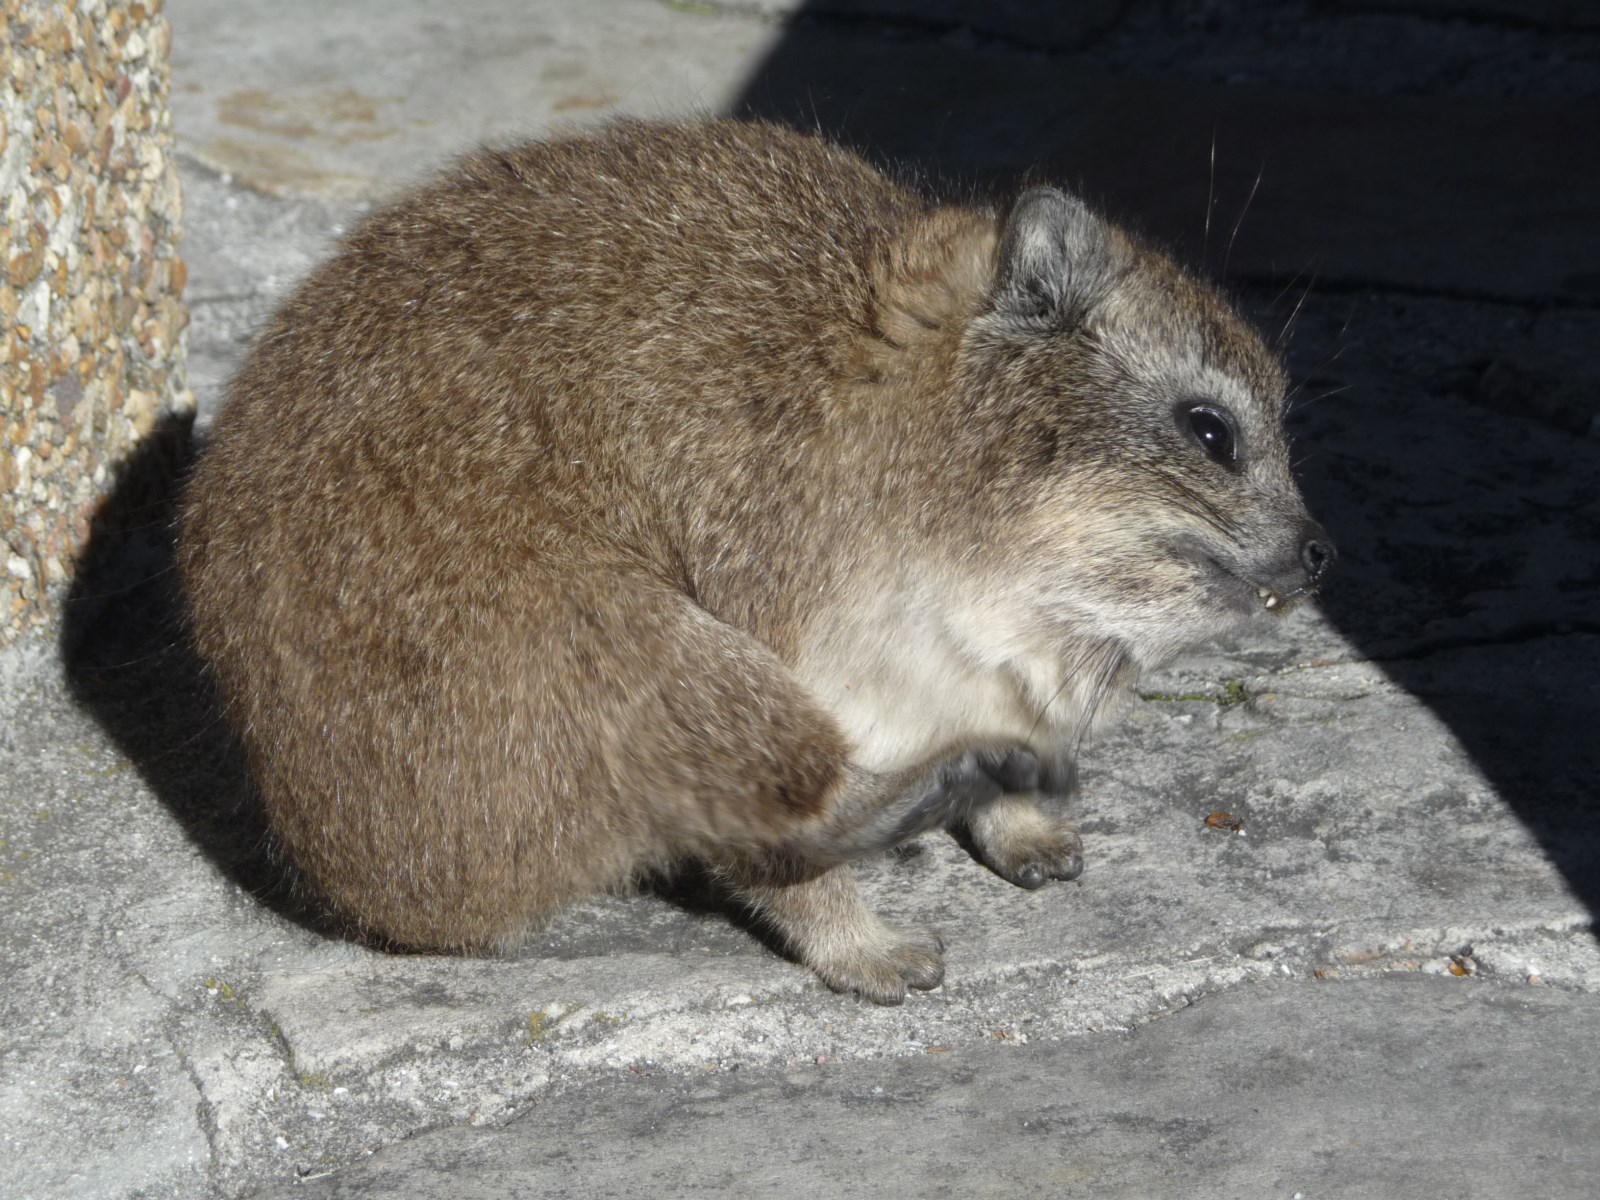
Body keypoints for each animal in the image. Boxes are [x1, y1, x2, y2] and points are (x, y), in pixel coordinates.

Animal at [177, 119, 1333, 1004]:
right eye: (1211, 431)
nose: (1317, 553)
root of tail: (353, 867)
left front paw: (1026, 826)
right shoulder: (786, 596)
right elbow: (775, 863)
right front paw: (875, 949)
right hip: (634, 646)